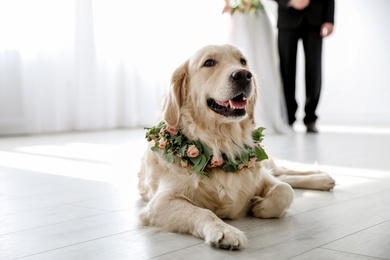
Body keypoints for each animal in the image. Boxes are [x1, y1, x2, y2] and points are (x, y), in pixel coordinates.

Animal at [138, 44, 336, 250]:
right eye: (209, 62)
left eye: (243, 61)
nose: (243, 75)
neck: (222, 143)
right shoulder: (160, 203)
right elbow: (203, 212)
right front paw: (225, 231)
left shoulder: (260, 178)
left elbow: (284, 190)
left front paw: (260, 206)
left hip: (266, 165)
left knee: (284, 173)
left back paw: (322, 178)